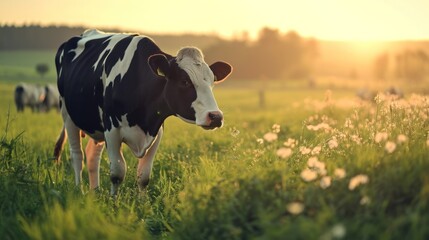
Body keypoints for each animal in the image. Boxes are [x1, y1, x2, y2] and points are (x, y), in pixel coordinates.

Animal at [54, 29, 232, 195]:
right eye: (184, 81)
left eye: (212, 82)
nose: (216, 116)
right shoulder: (111, 129)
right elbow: (117, 172)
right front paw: (114, 202)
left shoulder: (156, 130)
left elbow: (144, 175)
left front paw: (143, 203)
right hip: (67, 115)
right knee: (77, 155)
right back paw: (79, 189)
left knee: (92, 155)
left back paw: (94, 191)